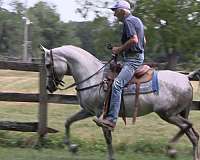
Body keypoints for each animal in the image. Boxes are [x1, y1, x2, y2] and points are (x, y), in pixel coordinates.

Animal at [39, 44, 199, 160]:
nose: (49, 87)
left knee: (188, 126)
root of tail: (186, 78)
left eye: (48, 65)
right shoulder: (88, 111)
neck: (94, 78)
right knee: (193, 134)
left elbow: (108, 138)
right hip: (178, 113)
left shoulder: (101, 115)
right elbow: (68, 121)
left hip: (168, 114)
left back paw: (171, 149)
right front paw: (72, 147)